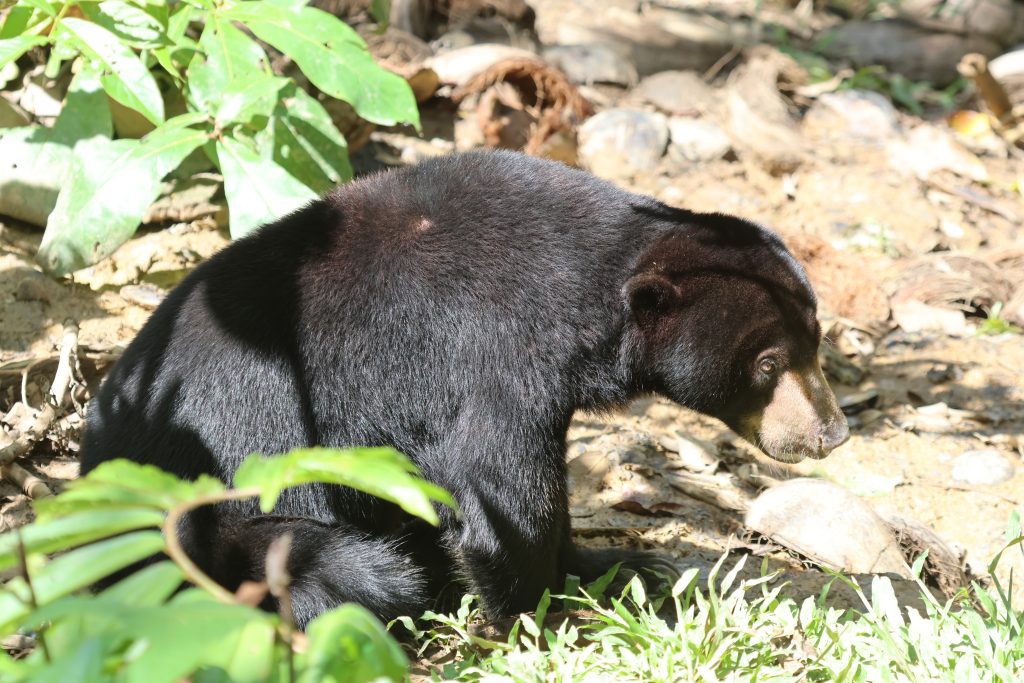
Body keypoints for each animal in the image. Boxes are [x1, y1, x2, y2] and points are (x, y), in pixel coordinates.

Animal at [80, 150, 849, 628]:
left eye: (817, 342)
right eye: (768, 364)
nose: (830, 432)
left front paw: (620, 562)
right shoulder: (498, 350)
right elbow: (502, 494)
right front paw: (544, 616)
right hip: (215, 511)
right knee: (340, 567)